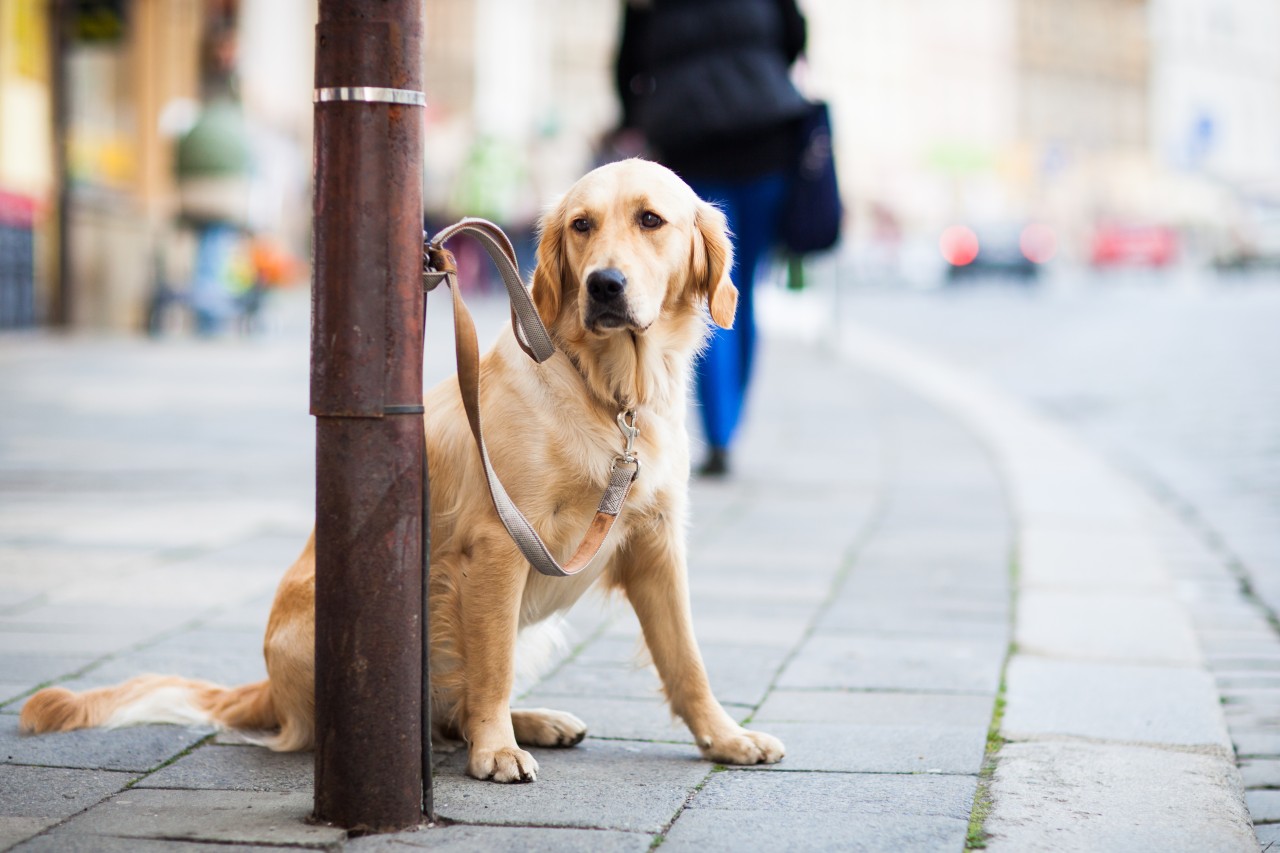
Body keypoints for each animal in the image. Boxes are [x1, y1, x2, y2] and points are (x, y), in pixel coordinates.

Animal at [20, 157, 783, 778]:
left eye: (651, 220)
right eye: (581, 225)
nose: (604, 285)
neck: (610, 392)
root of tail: (267, 688)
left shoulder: (656, 544)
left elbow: (686, 659)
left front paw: (725, 737)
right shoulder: (501, 544)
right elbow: (493, 668)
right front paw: (496, 751)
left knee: (457, 704)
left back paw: (538, 721)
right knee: (439, 704)